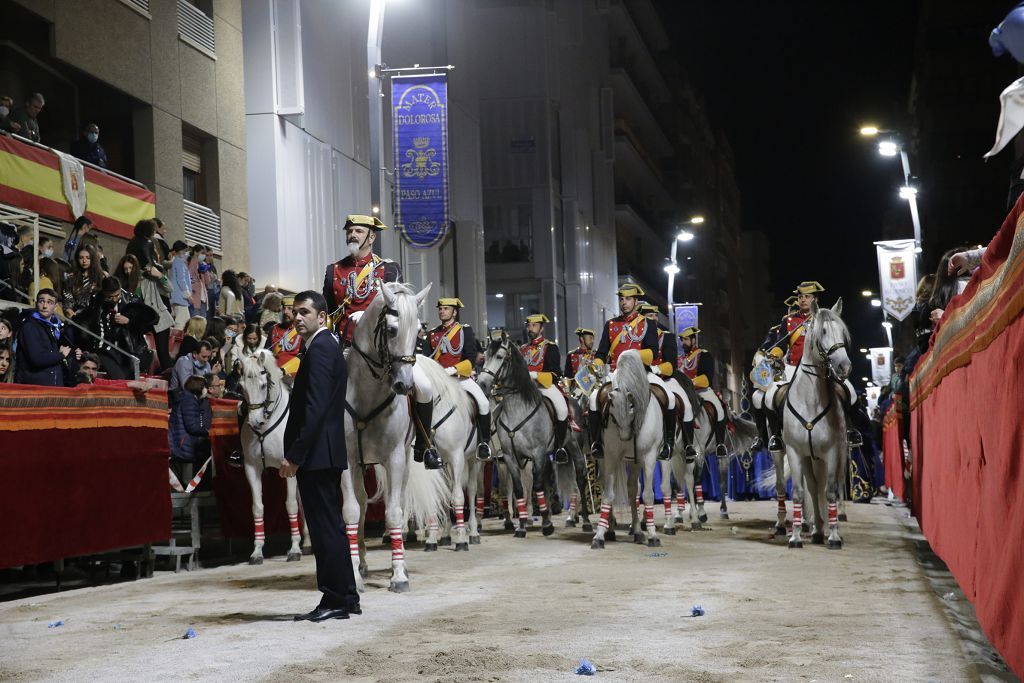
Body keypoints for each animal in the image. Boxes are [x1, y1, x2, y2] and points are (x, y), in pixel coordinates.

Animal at [238, 350, 303, 565]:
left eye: (263, 385)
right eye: (241, 386)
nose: (255, 422)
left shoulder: (290, 469)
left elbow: (290, 505)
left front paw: (294, 549)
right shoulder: (251, 468)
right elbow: (257, 507)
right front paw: (257, 551)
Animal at [339, 280, 448, 589]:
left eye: (419, 332)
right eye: (390, 330)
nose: (404, 385)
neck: (368, 394)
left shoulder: (396, 459)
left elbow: (394, 512)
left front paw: (399, 574)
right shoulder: (347, 460)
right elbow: (352, 512)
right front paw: (353, 572)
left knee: (393, 503)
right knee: (363, 506)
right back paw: (362, 563)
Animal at [593, 352, 663, 548]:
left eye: (632, 405)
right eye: (611, 406)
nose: (624, 437)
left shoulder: (649, 457)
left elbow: (647, 495)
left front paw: (652, 535)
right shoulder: (610, 455)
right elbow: (608, 495)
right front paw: (599, 535)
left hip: (635, 461)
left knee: (633, 490)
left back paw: (638, 531)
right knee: (609, 484)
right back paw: (610, 529)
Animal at [778, 299, 851, 548]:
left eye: (842, 332)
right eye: (823, 331)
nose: (844, 366)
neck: (810, 401)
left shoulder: (832, 452)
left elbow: (830, 492)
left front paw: (835, 536)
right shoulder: (795, 452)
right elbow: (800, 492)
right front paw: (795, 537)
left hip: (836, 455)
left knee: (831, 487)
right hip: (810, 458)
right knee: (812, 486)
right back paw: (817, 529)